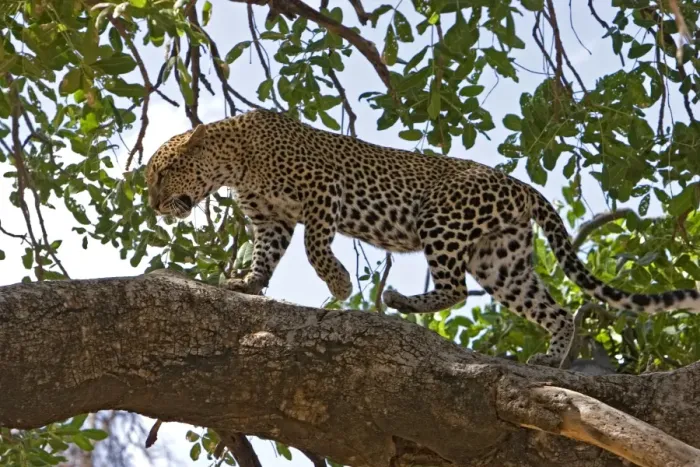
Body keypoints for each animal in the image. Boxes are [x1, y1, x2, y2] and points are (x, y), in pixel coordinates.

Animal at [146, 108, 700, 366]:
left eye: (161, 173)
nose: (152, 205)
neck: (235, 161)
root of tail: (521, 184)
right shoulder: (271, 221)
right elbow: (267, 256)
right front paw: (247, 284)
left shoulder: (323, 195)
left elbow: (315, 247)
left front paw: (340, 285)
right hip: (501, 261)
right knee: (554, 310)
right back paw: (551, 357)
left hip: (443, 223)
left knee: (453, 289)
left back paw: (399, 300)